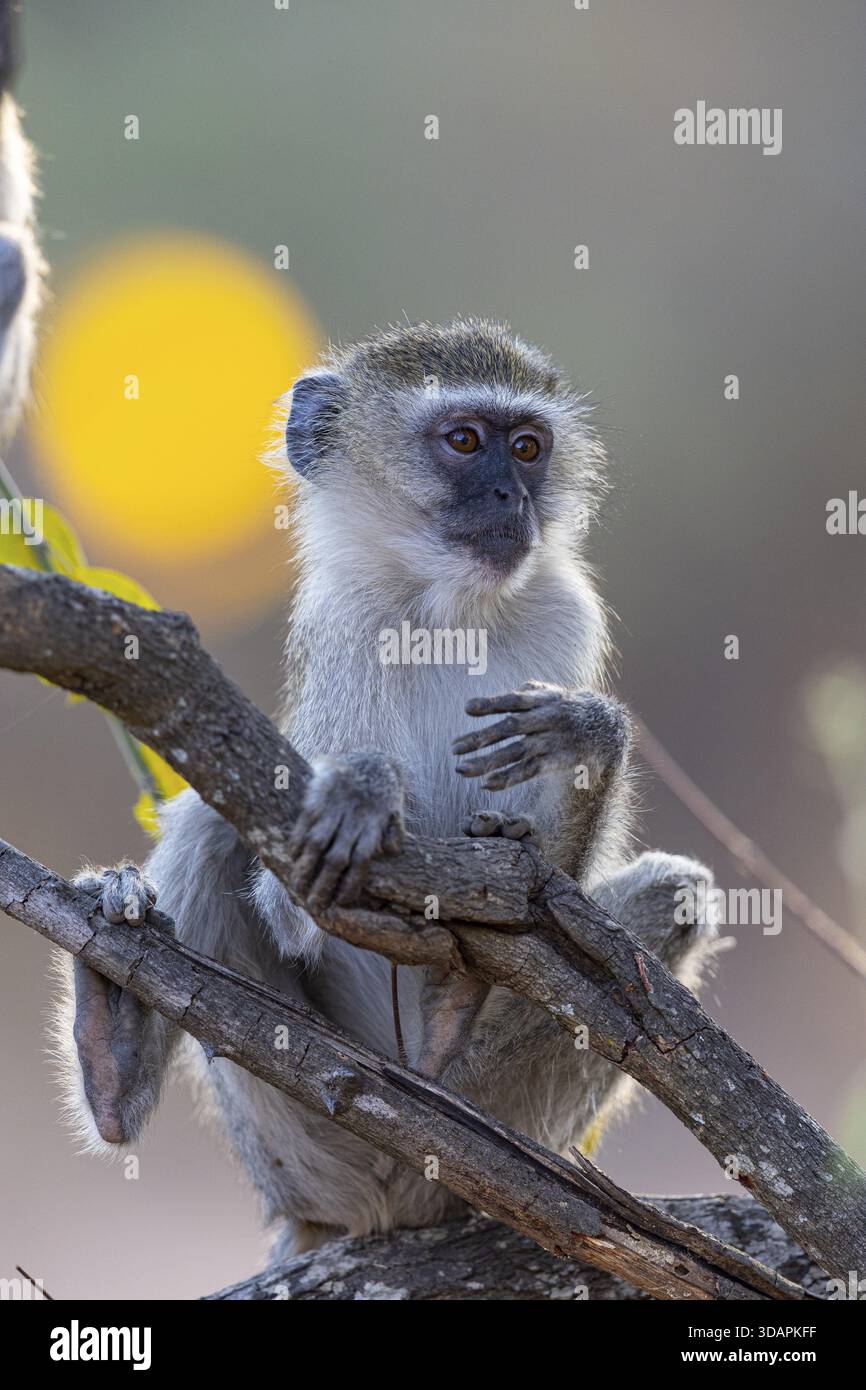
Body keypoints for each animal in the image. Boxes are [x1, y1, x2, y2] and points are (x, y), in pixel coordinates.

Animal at [55, 318, 719, 1259]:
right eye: (465, 441)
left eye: (527, 448)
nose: (512, 499)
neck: (447, 611)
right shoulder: (345, 622)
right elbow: (287, 890)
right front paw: (364, 784)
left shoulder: (568, 612)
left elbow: (560, 894)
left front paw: (590, 731)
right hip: (305, 1142)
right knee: (210, 824)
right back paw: (111, 1055)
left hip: (494, 1126)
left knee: (674, 894)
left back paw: (450, 1032)